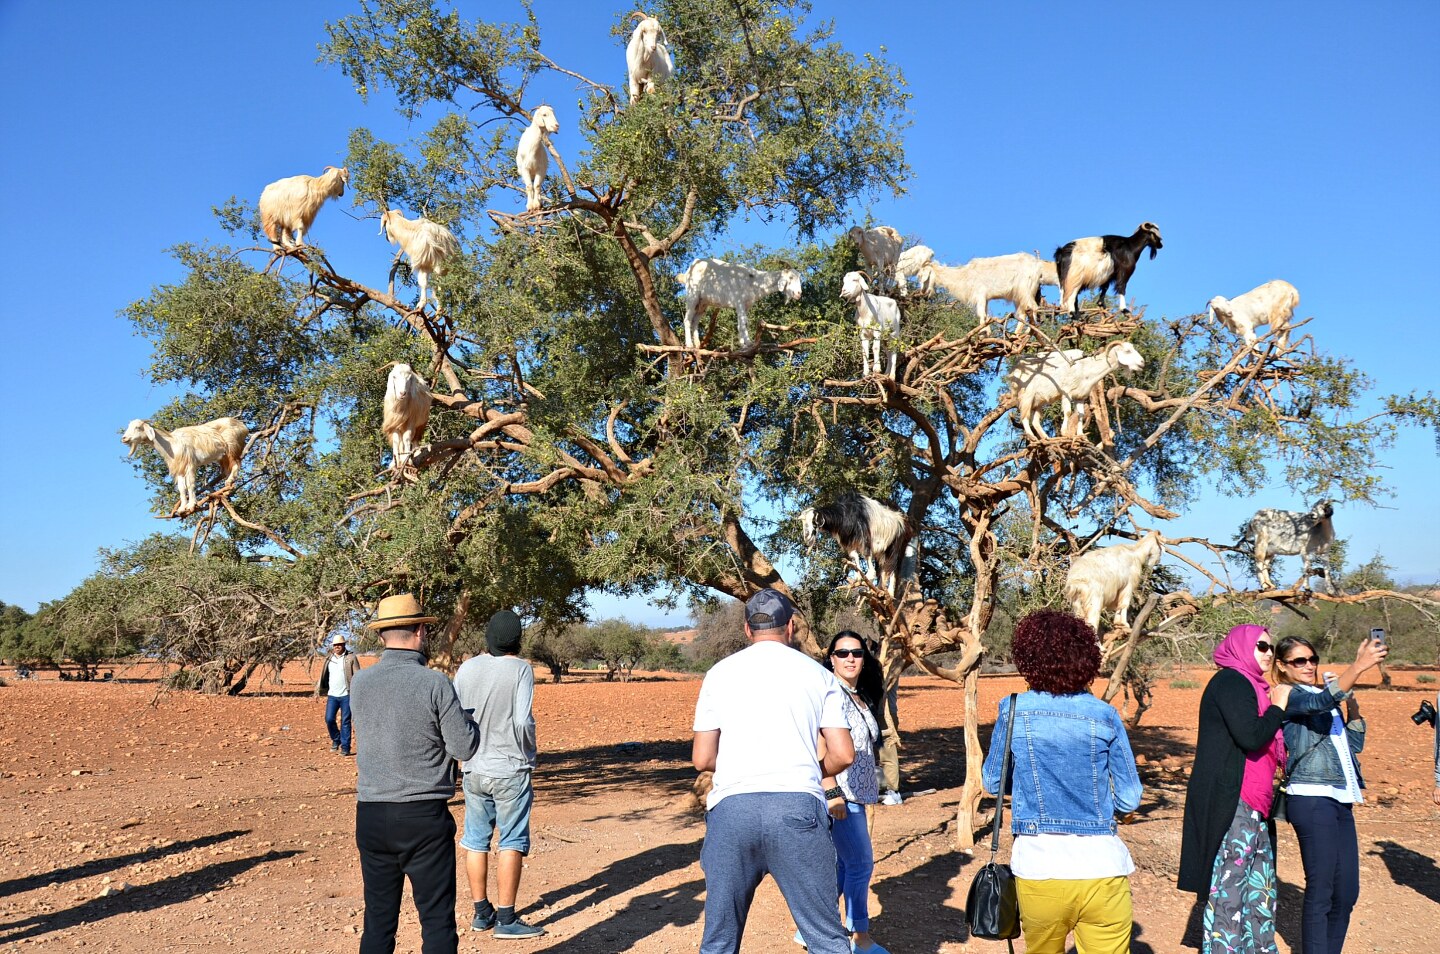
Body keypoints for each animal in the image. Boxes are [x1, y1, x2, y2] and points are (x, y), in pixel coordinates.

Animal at [671, 257, 806, 351]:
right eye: (790, 278)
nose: (799, 293)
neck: (754, 281)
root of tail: (688, 271)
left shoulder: (746, 306)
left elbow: (742, 323)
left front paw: (744, 344)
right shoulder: (739, 302)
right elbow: (743, 323)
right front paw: (747, 344)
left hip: (703, 303)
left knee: (695, 321)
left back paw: (698, 345)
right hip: (692, 296)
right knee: (687, 319)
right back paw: (689, 345)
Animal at [1008, 341, 1140, 443]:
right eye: (1128, 351)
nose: (1141, 363)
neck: (1085, 367)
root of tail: (1015, 370)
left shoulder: (1080, 397)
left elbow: (1080, 414)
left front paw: (1081, 435)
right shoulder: (1066, 392)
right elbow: (1067, 412)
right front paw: (1065, 433)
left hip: (1039, 401)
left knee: (1035, 421)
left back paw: (1046, 438)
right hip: (1026, 394)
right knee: (1024, 416)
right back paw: (1032, 436)